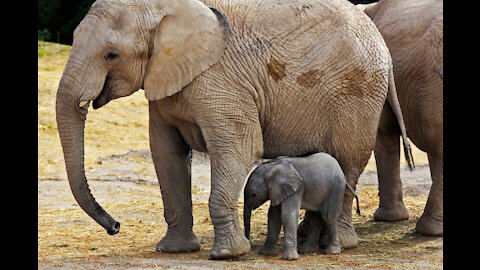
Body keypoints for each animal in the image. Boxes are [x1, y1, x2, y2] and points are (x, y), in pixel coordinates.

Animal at [53, 0, 412, 258]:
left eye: (111, 55)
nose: (115, 226)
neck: (163, 9)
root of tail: (379, 37)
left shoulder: (221, 82)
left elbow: (238, 148)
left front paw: (228, 254)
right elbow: (167, 155)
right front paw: (175, 250)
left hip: (358, 94)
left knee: (348, 162)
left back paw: (337, 245)